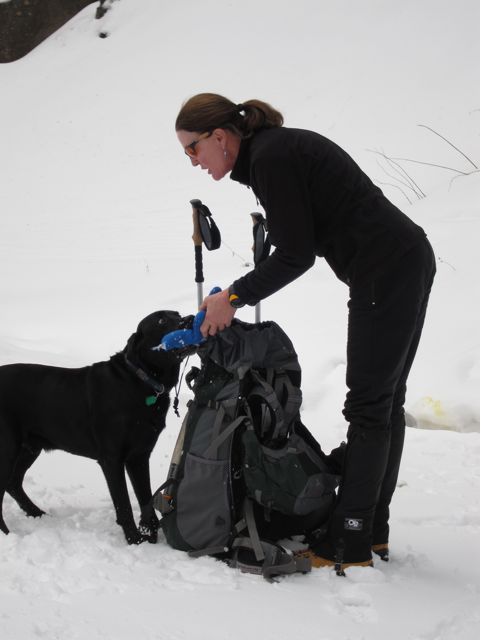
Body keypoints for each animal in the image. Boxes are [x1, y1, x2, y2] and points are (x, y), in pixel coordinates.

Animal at [0, 310, 187, 544]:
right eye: (161, 320)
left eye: (177, 314)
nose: (189, 319)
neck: (140, 382)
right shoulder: (112, 458)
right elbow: (123, 504)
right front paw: (134, 539)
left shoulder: (139, 455)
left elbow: (145, 497)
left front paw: (150, 536)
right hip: (8, 448)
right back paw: (7, 533)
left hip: (29, 447)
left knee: (13, 482)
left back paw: (37, 514)